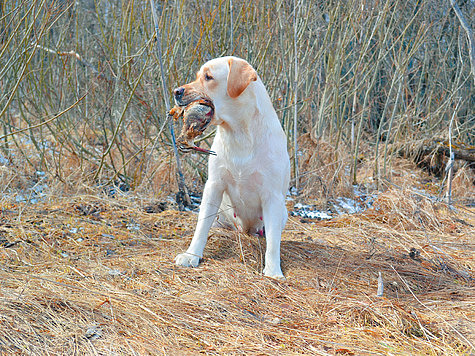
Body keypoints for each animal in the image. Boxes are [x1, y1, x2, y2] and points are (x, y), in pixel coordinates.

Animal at [172, 56, 288, 278]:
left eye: (208, 77)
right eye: (198, 75)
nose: (176, 91)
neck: (239, 132)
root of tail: (245, 229)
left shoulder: (272, 196)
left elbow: (273, 243)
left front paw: (273, 271)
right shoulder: (214, 185)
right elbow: (201, 227)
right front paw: (192, 255)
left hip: (282, 212)